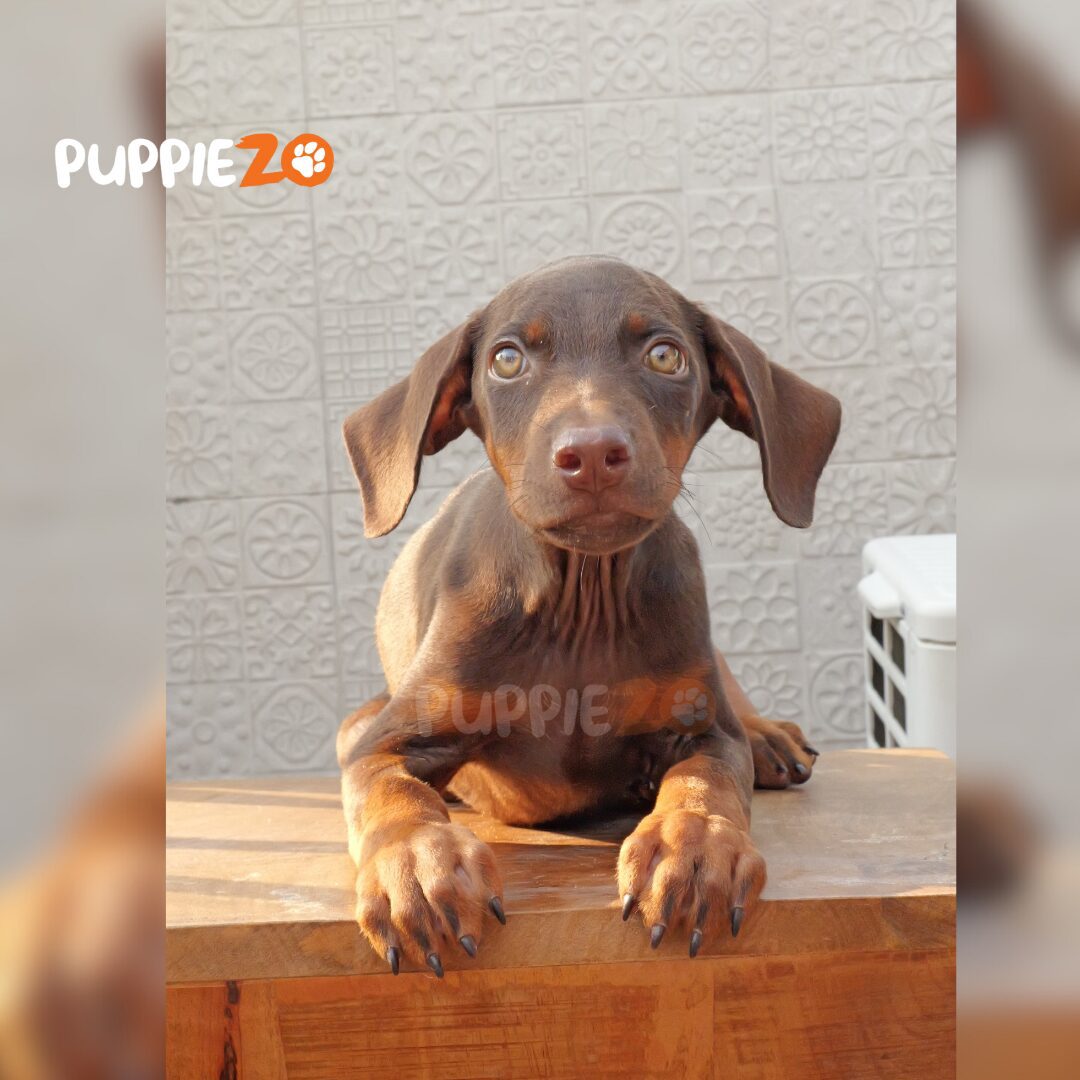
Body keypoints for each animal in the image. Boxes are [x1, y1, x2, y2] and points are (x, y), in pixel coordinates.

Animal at [337, 256, 841, 976]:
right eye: (507, 360)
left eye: (665, 355)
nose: (594, 454)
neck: (582, 602)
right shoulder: (386, 739)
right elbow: (394, 795)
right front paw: (418, 863)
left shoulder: (703, 727)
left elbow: (708, 778)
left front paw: (693, 844)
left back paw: (768, 737)